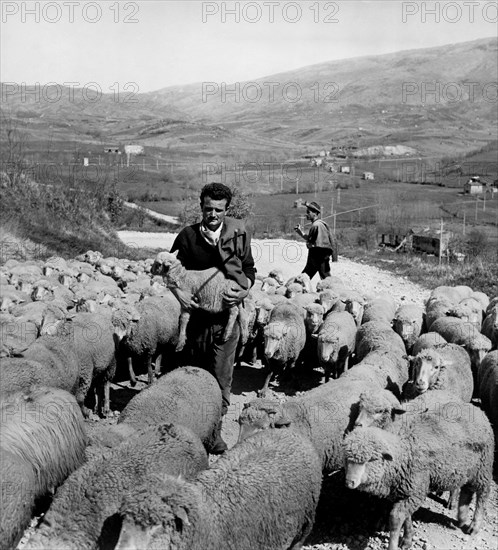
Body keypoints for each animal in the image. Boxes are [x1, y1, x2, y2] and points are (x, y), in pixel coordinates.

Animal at [342, 406, 494, 550]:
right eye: (346, 458)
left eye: (372, 459)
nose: (349, 482)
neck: (403, 451)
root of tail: (479, 411)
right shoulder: (406, 492)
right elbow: (407, 518)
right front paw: (407, 539)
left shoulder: (415, 490)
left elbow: (395, 519)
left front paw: (394, 545)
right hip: (468, 470)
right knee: (468, 491)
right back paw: (461, 518)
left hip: (483, 467)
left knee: (483, 494)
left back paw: (474, 526)